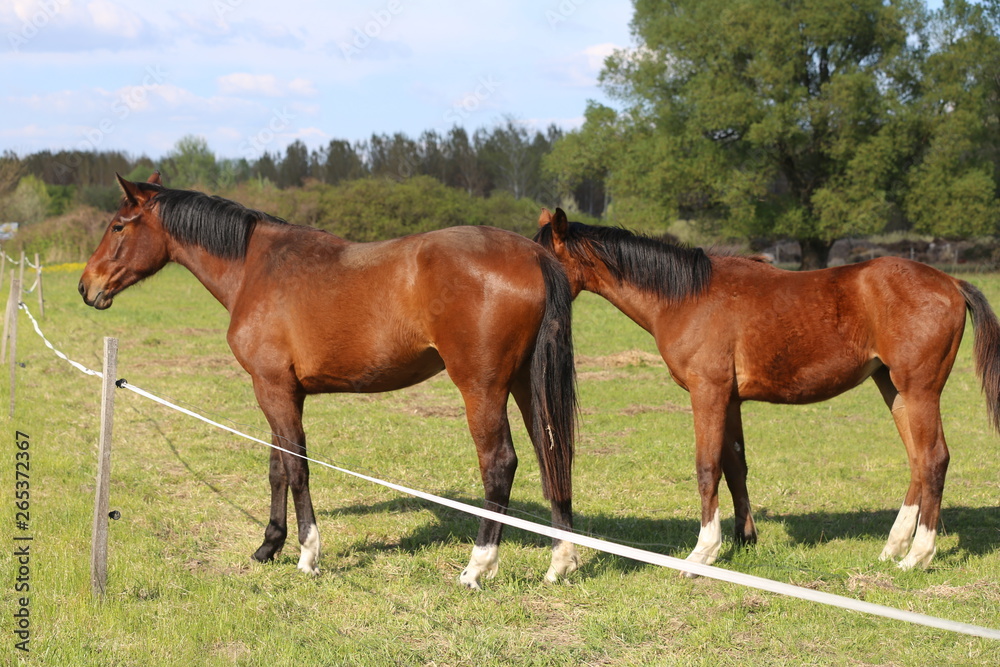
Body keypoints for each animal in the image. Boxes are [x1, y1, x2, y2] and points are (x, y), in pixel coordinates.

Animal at [78, 173, 580, 589]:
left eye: (118, 226)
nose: (87, 286)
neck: (256, 268)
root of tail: (535, 255)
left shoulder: (272, 387)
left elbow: (297, 467)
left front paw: (307, 555)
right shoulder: (280, 391)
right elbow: (278, 467)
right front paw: (268, 545)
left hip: (482, 387)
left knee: (500, 463)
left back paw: (477, 567)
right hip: (526, 385)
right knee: (552, 455)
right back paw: (561, 562)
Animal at [535, 207, 1000, 574]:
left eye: (543, 259)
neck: (686, 297)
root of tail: (951, 282)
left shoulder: (708, 393)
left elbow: (707, 468)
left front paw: (703, 552)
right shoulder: (730, 400)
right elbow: (734, 466)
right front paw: (744, 540)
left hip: (919, 391)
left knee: (934, 460)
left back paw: (918, 556)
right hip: (894, 389)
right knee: (918, 461)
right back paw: (893, 548)